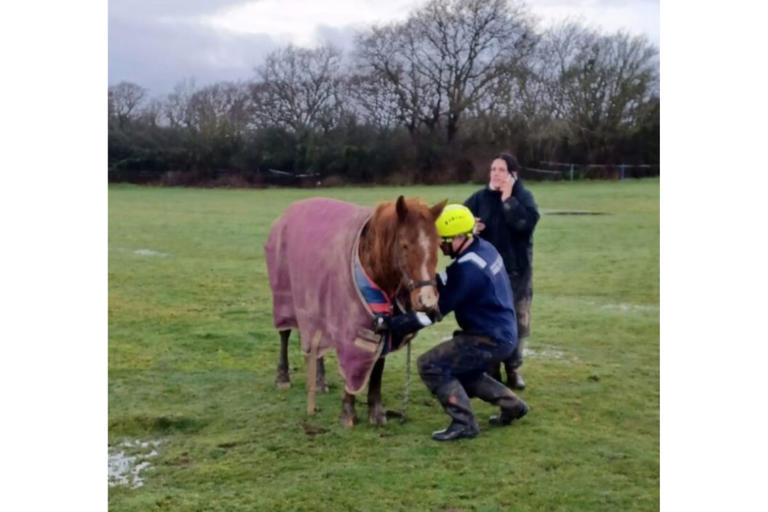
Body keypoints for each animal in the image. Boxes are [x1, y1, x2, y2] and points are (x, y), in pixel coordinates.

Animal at [265, 195, 446, 426]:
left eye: (437, 245)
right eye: (404, 245)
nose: (427, 300)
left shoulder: (381, 325)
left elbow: (377, 366)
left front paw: (376, 411)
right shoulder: (350, 326)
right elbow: (352, 365)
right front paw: (348, 412)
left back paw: (320, 381)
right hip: (285, 297)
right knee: (285, 333)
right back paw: (283, 377)